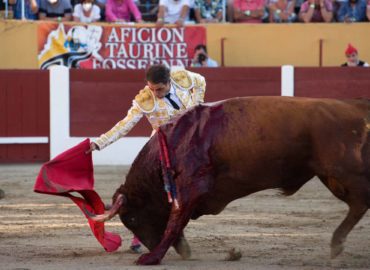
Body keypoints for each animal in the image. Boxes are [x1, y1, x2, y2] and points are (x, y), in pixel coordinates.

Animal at [93, 96, 370, 264]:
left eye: (131, 219)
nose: (149, 248)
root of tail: (357, 110)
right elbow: (176, 222)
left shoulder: (191, 187)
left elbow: (174, 221)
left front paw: (152, 258)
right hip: (331, 175)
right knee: (358, 203)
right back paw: (337, 243)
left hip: (342, 169)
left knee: (362, 200)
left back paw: (337, 242)